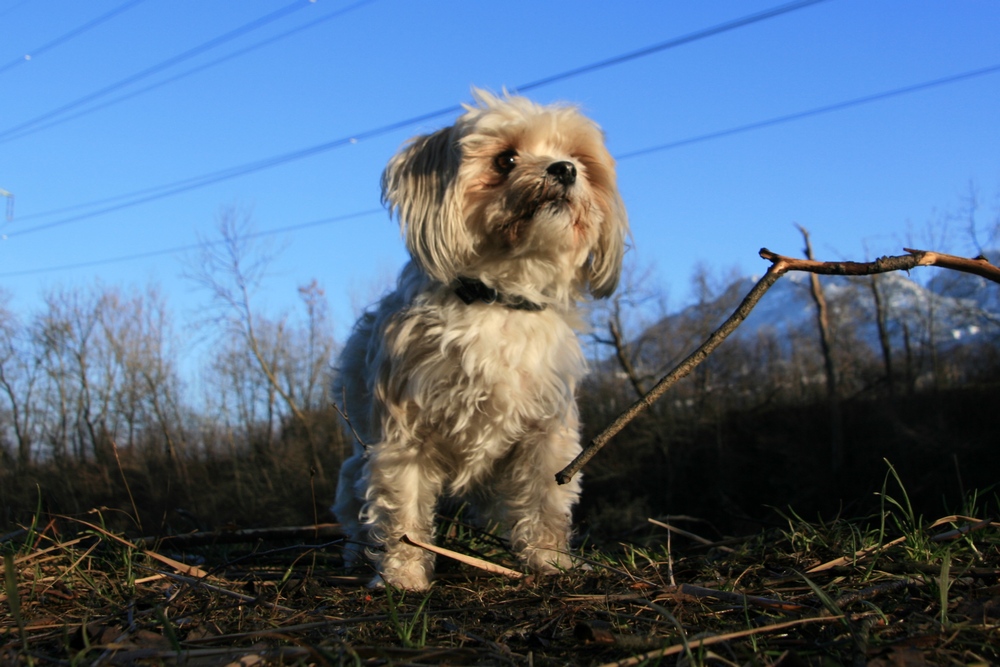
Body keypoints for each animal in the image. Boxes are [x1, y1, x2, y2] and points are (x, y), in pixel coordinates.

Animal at [336, 90, 632, 588]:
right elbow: (403, 510)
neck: (500, 299)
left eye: (578, 159)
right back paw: (358, 555)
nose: (564, 169)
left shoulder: (545, 431)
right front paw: (403, 576)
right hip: (357, 462)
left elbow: (544, 502)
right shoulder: (403, 433)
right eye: (505, 159)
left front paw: (550, 562)